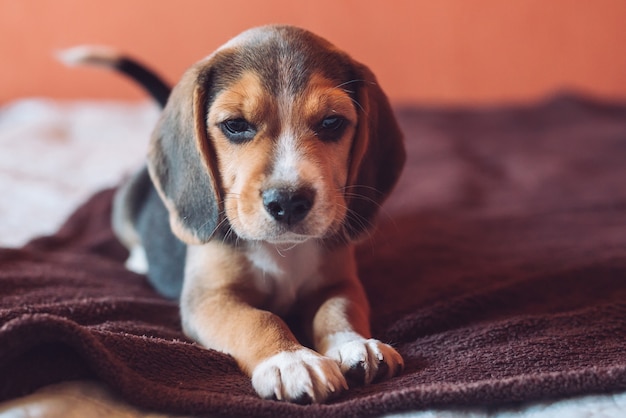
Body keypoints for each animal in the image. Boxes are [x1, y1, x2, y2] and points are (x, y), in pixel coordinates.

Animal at [63, 24, 404, 404]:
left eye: (331, 122)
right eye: (236, 125)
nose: (288, 201)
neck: (282, 250)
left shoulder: (340, 283)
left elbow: (338, 311)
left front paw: (354, 345)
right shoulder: (210, 299)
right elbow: (258, 320)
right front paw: (292, 360)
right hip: (124, 205)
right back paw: (139, 260)